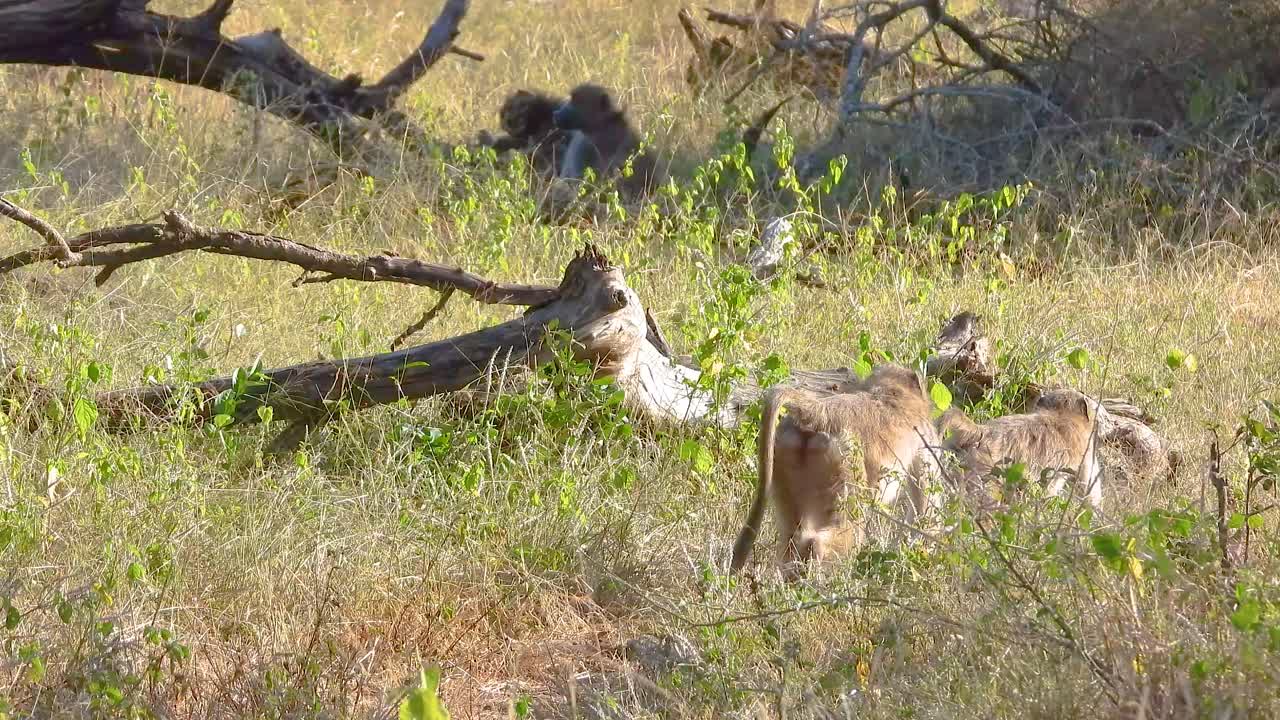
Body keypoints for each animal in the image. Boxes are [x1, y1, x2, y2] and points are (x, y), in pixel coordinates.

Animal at [730, 364, 943, 577]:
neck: (891, 390)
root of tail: (818, 412)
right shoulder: (924, 437)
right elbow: (926, 510)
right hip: (843, 464)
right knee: (842, 529)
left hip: (784, 456)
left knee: (792, 534)